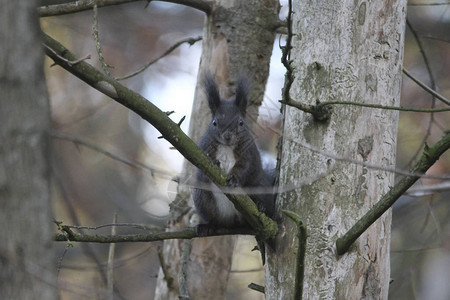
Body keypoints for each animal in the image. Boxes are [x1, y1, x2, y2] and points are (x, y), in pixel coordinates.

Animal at [192, 73, 274, 237]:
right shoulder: (202, 148)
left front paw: (234, 178)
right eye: (214, 122)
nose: (228, 136)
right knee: (212, 218)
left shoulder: (248, 152)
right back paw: (207, 226)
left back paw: (260, 206)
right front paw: (214, 163)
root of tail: (232, 222)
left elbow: (246, 167)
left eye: (241, 123)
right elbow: (201, 168)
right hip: (202, 197)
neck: (227, 147)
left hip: (260, 185)